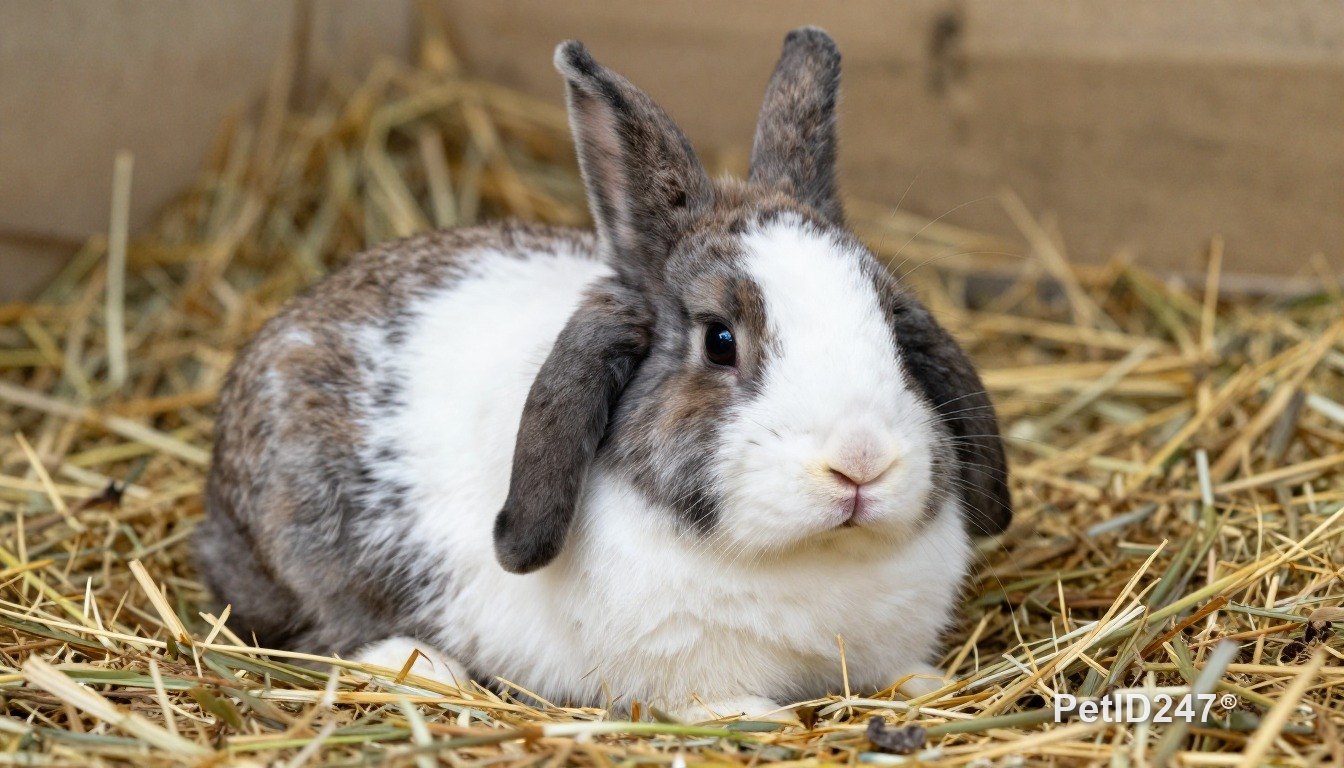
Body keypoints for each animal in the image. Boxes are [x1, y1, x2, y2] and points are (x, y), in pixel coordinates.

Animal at [196, 27, 1011, 721]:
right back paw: (422, 665)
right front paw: (759, 719)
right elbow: (722, 703)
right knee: (311, 630)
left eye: (893, 330)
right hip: (305, 551)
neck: (808, 560)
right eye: (719, 342)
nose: (861, 463)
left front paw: (930, 686)